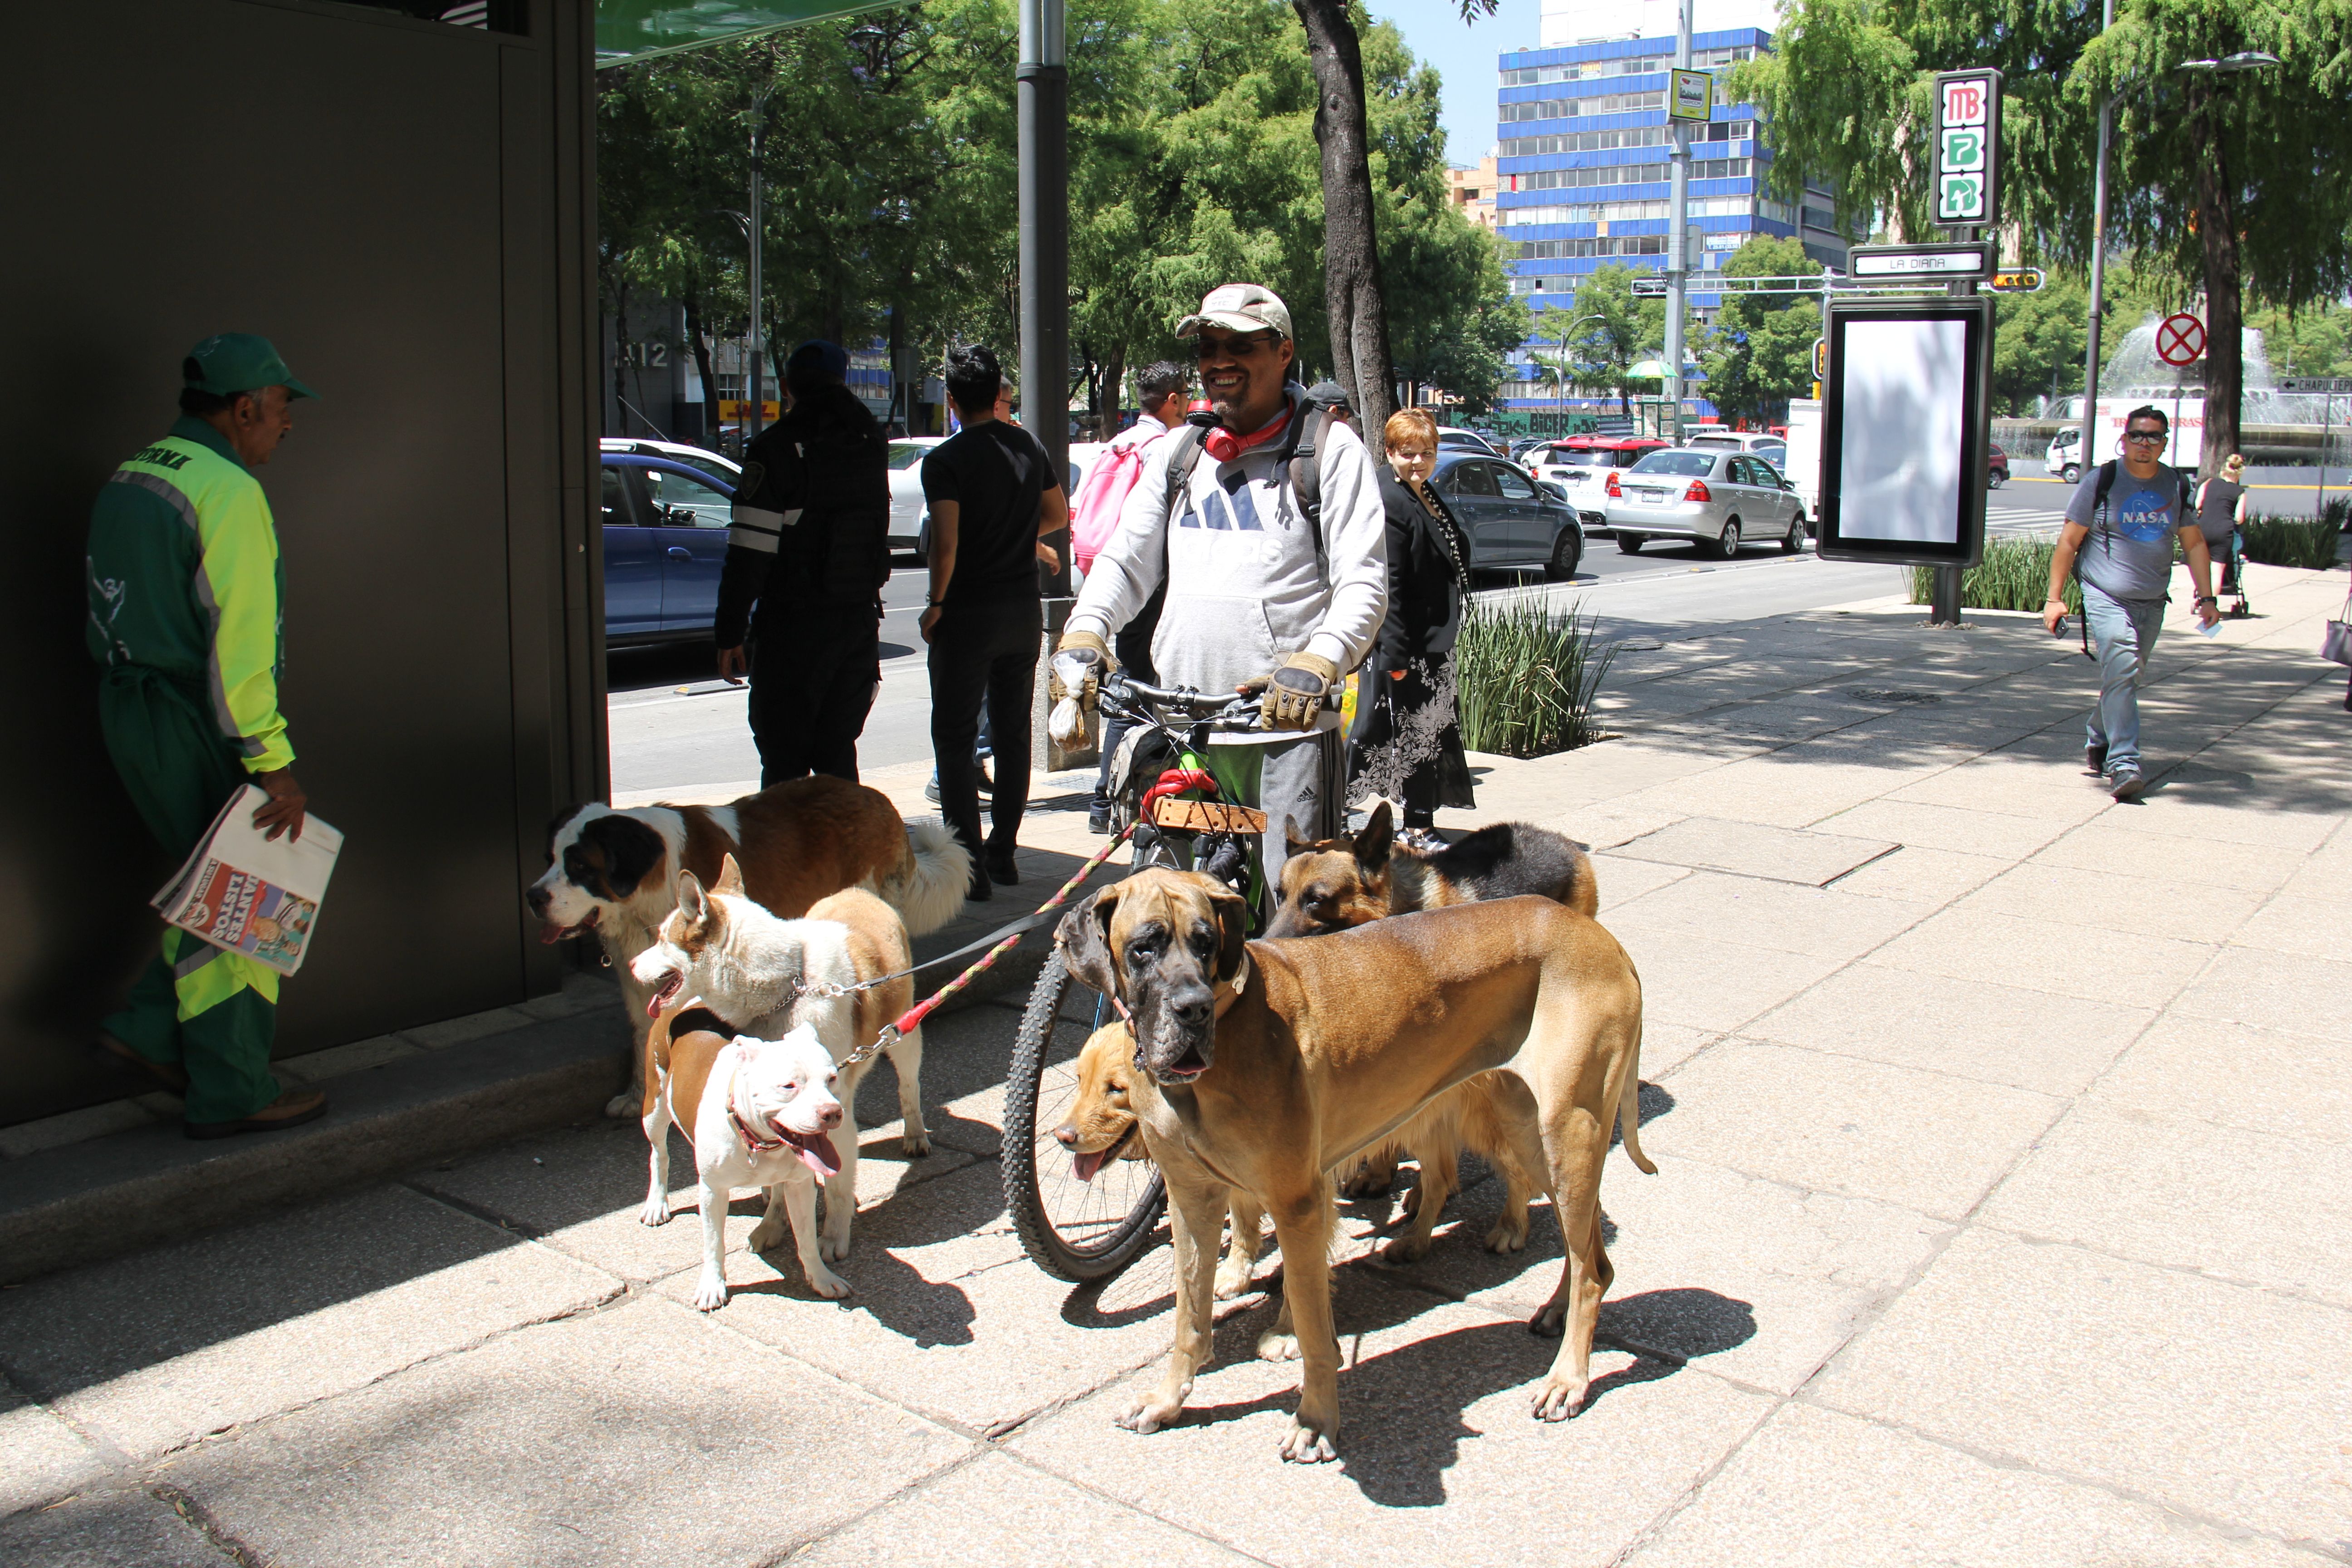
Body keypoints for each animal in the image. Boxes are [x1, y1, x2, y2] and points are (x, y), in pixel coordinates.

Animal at [529, 771, 969, 1114]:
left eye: (580, 866)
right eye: (549, 859)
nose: (533, 898)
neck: (651, 884)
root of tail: (877, 798)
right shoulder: (638, 971)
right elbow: (643, 1032)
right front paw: (638, 1094)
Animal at [630, 865, 922, 1269]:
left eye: (661, 939)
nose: (629, 965)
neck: (787, 987)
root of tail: (857, 893)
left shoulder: (835, 1112)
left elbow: (834, 1186)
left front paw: (832, 1236)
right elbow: (788, 1174)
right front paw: (773, 1224)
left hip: (904, 1033)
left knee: (909, 1088)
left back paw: (916, 1135)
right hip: (656, 1104)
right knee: (659, 1152)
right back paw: (658, 1203)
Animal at [644, 1011, 856, 1307]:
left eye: (832, 1078)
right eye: (788, 1086)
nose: (833, 1112)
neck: (762, 1142)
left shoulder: (800, 1187)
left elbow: (807, 1239)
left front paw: (822, 1279)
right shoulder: (713, 1191)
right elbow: (714, 1243)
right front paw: (712, 1286)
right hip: (654, 1107)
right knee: (659, 1154)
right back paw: (656, 1203)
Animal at [1058, 865, 1646, 1467]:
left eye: (1206, 942)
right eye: (1144, 947)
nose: (1193, 1009)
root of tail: (1603, 940)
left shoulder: (1298, 1204)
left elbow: (1311, 1322)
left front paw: (1315, 1419)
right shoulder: (1192, 1199)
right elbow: (1189, 1315)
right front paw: (1168, 1399)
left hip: (1566, 1132)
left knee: (1591, 1267)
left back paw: (1568, 1377)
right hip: (1534, 1134)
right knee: (1586, 1248)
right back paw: (1556, 1310)